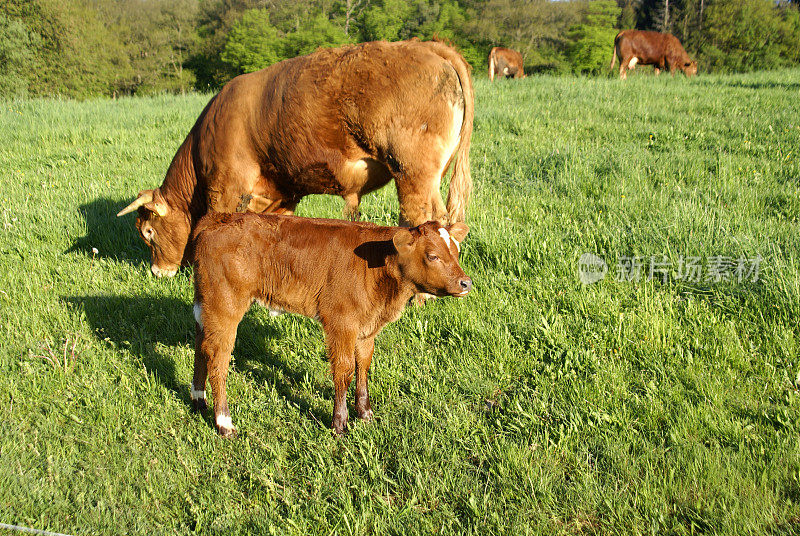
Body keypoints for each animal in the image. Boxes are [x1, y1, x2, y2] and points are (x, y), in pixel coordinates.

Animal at [115, 38, 472, 276]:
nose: (158, 271)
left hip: (412, 171)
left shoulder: (225, 186)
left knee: (422, 218)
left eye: (147, 232)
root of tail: (429, 46)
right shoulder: (279, 193)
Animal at [190, 213, 472, 436]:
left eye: (457, 252)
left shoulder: (366, 329)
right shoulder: (341, 322)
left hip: (207, 307)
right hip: (225, 307)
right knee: (218, 360)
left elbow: (363, 366)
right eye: (432, 256)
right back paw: (224, 423)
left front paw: (365, 413)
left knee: (200, 348)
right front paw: (340, 423)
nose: (466, 283)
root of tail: (219, 219)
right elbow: (344, 370)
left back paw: (198, 401)